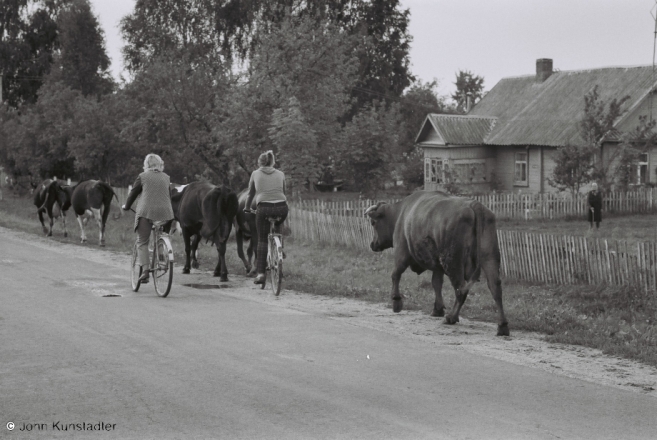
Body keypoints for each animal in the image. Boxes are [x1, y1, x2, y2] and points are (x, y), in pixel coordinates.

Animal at [366, 190, 510, 336]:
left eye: (373, 223)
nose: (373, 244)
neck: (401, 213)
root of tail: (475, 205)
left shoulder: (401, 253)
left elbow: (395, 275)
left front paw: (396, 302)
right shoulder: (437, 266)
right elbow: (436, 283)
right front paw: (438, 309)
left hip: (453, 262)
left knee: (461, 290)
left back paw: (451, 317)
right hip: (490, 258)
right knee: (495, 289)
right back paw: (502, 326)